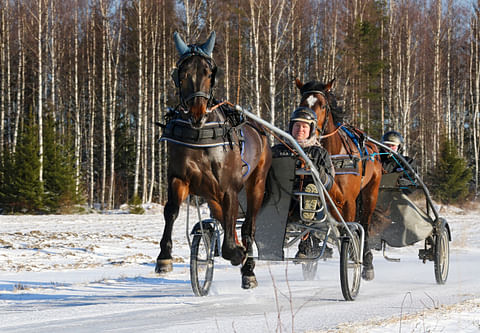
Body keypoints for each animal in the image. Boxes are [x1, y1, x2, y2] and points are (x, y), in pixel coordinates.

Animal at [157, 31, 272, 288]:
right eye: (182, 73)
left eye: (209, 73)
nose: (197, 114)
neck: (201, 135)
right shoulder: (180, 179)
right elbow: (171, 211)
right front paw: (164, 257)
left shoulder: (229, 188)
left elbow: (232, 234)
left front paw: (238, 254)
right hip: (211, 194)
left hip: (257, 183)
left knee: (248, 227)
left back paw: (248, 268)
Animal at [292, 79, 382, 278]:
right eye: (302, 103)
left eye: (323, 105)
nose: (310, 130)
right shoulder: (323, 195)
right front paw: (305, 249)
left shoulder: (348, 201)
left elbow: (349, 228)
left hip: (370, 193)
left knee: (365, 222)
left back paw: (367, 261)